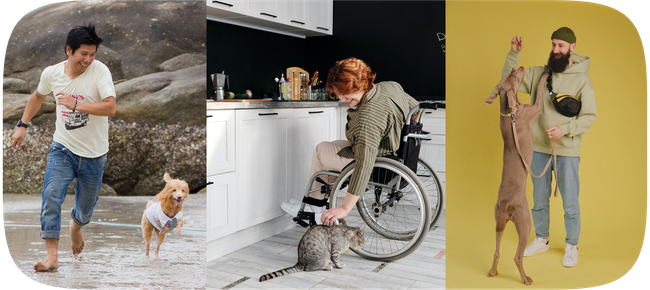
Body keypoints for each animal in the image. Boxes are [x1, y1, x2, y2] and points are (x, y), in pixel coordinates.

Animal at [484, 66, 544, 286]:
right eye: (515, 76)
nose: (520, 67)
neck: (510, 112)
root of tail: (505, 203)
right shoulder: (536, 109)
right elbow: (541, 91)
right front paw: (545, 75)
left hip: (498, 222)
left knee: (496, 252)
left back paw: (493, 272)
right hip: (525, 222)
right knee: (517, 256)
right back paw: (526, 279)